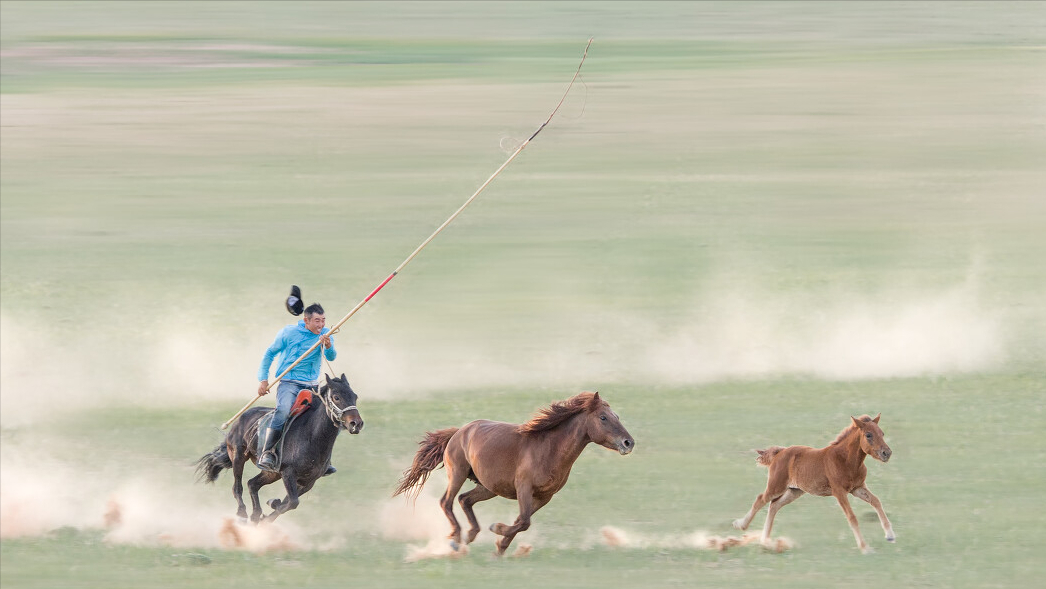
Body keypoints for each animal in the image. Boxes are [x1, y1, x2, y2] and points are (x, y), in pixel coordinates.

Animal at [196, 376, 364, 523]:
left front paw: (270, 509)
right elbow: (293, 502)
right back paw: (242, 514)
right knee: (237, 487)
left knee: (252, 484)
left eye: (354, 396)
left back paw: (256, 514)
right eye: (336, 397)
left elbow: (288, 503)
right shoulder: (288, 473)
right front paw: (269, 510)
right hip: (238, 456)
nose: (356, 423)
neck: (311, 437)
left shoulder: (308, 481)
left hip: (271, 473)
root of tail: (241, 418)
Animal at [393, 393, 631, 556]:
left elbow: (521, 521)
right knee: (447, 502)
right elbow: (524, 521)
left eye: (617, 416)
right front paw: (497, 530)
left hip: (488, 487)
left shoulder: (544, 497)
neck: (549, 449)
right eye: (603, 418)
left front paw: (500, 547)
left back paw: (470, 535)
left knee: (464, 500)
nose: (629, 442)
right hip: (458, 473)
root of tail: (459, 432)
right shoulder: (524, 488)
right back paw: (457, 539)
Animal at [732, 412, 895, 556]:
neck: (846, 460)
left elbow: (876, 501)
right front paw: (865, 548)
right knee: (761, 499)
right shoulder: (839, 492)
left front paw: (890, 536)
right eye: (868, 435)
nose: (887, 453)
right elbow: (852, 517)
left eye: (882, 433)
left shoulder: (857, 488)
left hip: (794, 491)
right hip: (776, 486)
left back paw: (765, 541)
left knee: (774, 505)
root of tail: (780, 452)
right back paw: (741, 525)